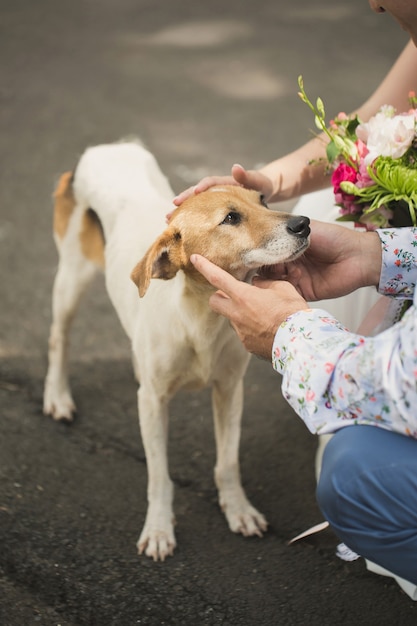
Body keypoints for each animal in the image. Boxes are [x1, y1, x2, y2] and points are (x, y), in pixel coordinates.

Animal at [44, 141, 308, 560]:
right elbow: (158, 475)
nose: (304, 224)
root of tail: (107, 147)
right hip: (72, 276)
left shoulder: (229, 390)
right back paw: (57, 396)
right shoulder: (153, 404)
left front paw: (238, 509)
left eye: (263, 199)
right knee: (59, 337)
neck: (199, 320)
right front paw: (158, 527)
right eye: (231, 218)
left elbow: (227, 463)